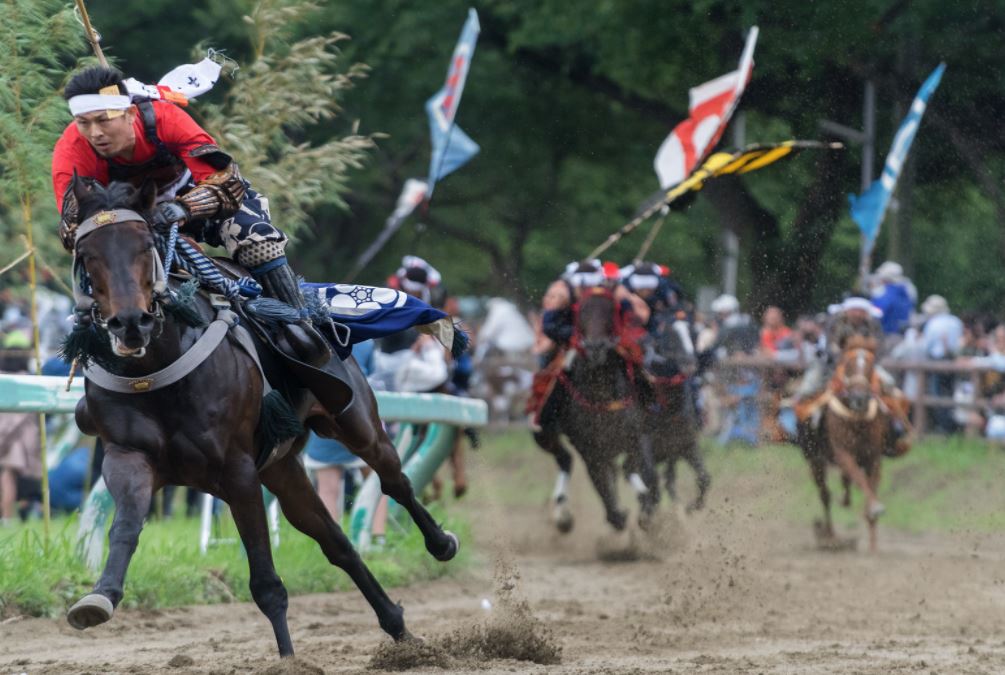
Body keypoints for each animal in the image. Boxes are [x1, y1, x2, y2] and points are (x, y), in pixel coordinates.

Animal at [63, 178, 458, 657]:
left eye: (144, 246)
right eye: (88, 255)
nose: (130, 323)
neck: (157, 368)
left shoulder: (238, 472)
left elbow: (266, 581)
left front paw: (288, 659)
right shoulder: (129, 458)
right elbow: (125, 526)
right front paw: (99, 597)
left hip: (354, 419)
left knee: (393, 480)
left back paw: (441, 543)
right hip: (283, 469)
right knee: (337, 542)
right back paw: (398, 626)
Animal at [548, 288, 656, 531]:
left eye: (611, 311)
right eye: (580, 313)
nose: (595, 347)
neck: (601, 394)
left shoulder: (634, 438)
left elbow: (632, 468)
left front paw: (645, 507)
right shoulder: (590, 450)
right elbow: (603, 488)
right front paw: (618, 515)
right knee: (565, 459)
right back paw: (563, 514)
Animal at [799, 340, 888, 551]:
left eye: (871, 365)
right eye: (847, 365)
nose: (859, 398)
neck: (857, 420)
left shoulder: (874, 458)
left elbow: (870, 486)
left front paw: (873, 544)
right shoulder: (843, 454)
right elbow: (859, 479)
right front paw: (873, 508)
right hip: (815, 461)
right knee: (825, 495)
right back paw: (829, 536)